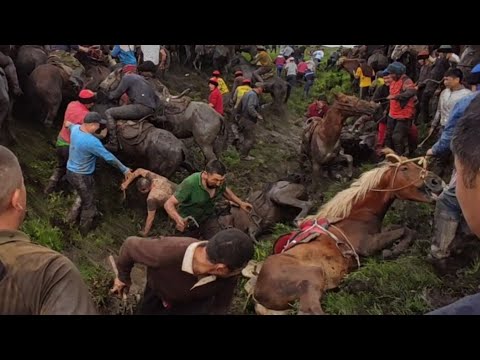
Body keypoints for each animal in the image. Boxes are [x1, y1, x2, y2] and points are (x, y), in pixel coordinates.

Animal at [246, 152, 444, 316]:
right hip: (313, 277)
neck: (357, 215)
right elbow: (406, 230)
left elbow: (405, 229)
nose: (436, 181)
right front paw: (392, 251)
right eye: (405, 168)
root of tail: (257, 293)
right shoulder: (368, 245)